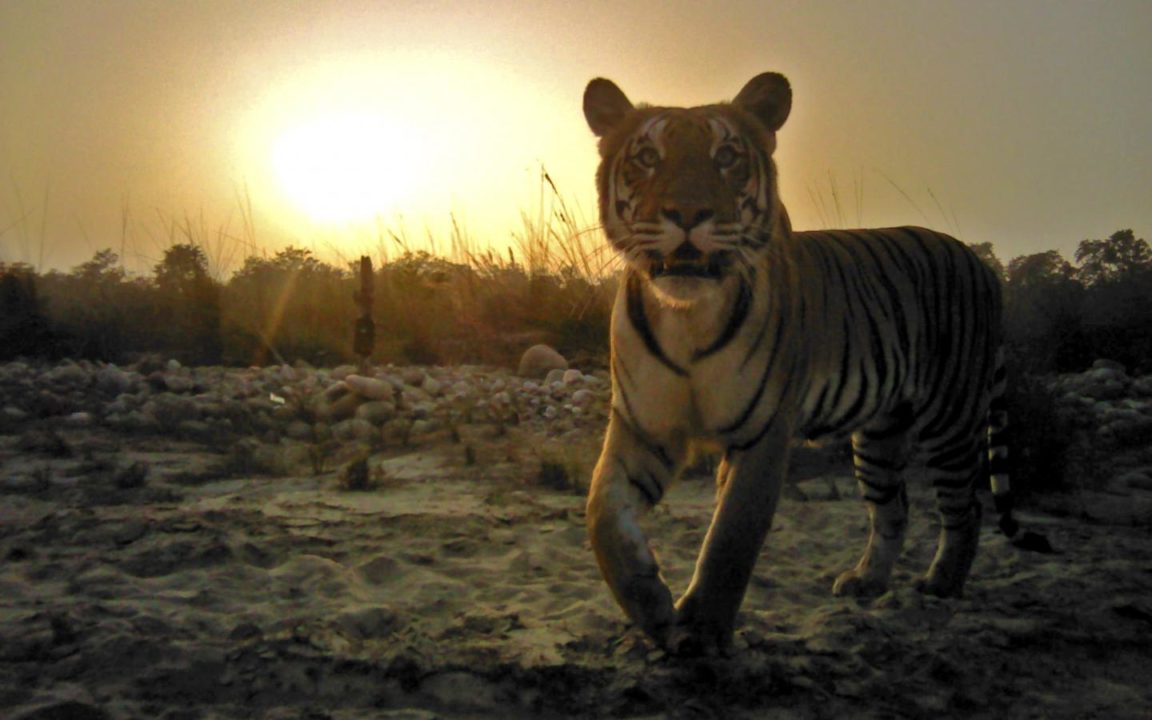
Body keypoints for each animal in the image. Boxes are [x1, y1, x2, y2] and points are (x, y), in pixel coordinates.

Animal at [582, 72, 1049, 656]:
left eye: (726, 156)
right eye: (647, 156)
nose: (687, 214)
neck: (687, 317)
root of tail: (981, 264)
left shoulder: (763, 433)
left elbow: (731, 537)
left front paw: (705, 629)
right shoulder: (642, 427)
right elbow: (602, 515)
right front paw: (649, 601)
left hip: (951, 418)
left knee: (966, 507)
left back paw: (941, 584)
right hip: (879, 435)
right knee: (894, 508)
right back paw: (865, 582)